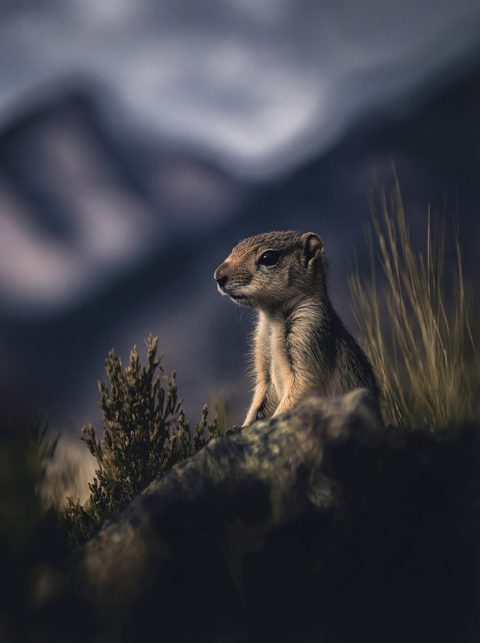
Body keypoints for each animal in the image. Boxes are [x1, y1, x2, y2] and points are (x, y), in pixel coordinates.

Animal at [214, 230, 380, 430]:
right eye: (234, 249)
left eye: (268, 257)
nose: (218, 276)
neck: (272, 319)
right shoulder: (263, 365)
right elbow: (260, 401)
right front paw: (242, 427)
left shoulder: (307, 334)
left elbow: (302, 389)